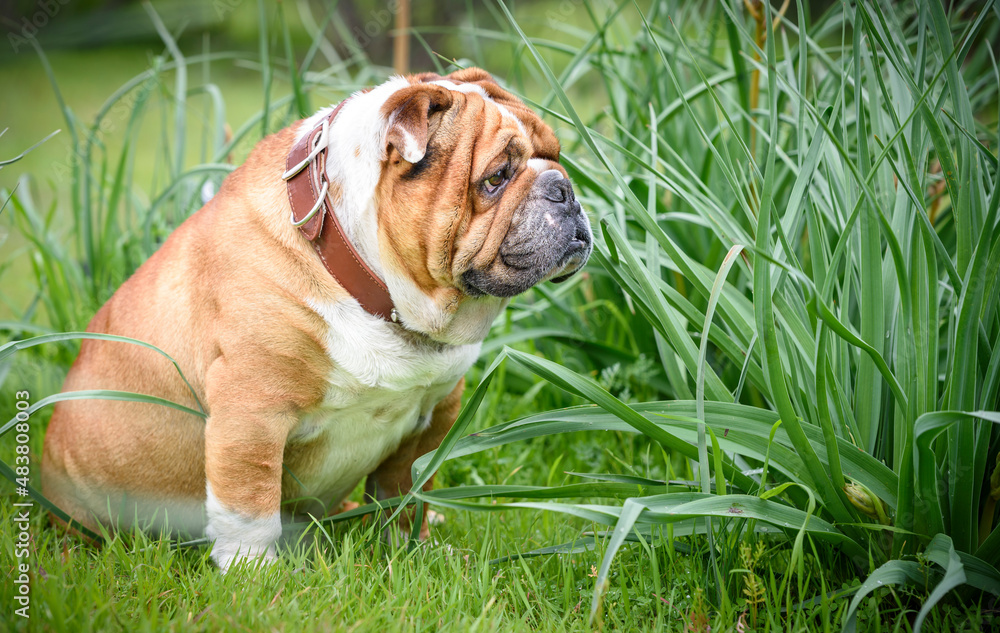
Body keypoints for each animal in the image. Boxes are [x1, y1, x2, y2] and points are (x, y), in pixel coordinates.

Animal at [43, 66, 592, 572]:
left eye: (556, 156)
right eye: (497, 177)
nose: (563, 189)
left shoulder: (435, 413)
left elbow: (406, 489)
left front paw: (408, 548)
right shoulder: (252, 413)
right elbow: (249, 506)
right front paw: (253, 574)